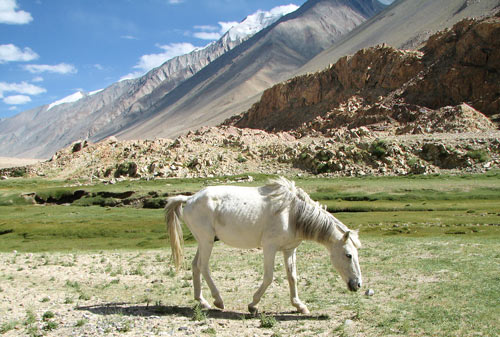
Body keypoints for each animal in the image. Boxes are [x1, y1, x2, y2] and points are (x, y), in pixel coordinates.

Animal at [165, 176, 364, 312]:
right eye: (348, 255)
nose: (357, 285)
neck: (292, 214)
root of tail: (189, 199)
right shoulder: (270, 248)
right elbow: (269, 277)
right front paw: (253, 304)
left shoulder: (289, 250)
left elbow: (292, 277)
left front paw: (299, 305)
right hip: (207, 242)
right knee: (203, 267)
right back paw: (218, 300)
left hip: (203, 241)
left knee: (195, 266)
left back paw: (202, 301)